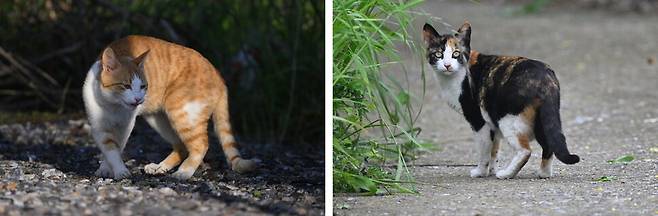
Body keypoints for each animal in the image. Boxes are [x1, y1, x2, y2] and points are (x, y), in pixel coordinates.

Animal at [82, 35, 256, 181]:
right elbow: (109, 149)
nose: (139, 99)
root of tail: (218, 75)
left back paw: (184, 172)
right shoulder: (98, 126)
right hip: (159, 119)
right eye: (126, 86)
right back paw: (160, 167)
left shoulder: (125, 126)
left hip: (181, 112)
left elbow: (116, 148)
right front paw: (106, 169)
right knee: (182, 147)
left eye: (143, 86)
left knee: (201, 144)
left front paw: (118, 171)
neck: (113, 104)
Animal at [422, 21, 576, 179]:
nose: (447, 65)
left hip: (507, 118)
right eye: (438, 54)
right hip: (541, 118)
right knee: (548, 144)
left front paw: (480, 172)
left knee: (525, 150)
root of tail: (546, 77)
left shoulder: (479, 121)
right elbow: (494, 150)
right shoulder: (491, 124)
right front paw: (492, 170)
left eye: (456, 54)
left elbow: (484, 151)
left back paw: (506, 174)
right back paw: (543, 173)